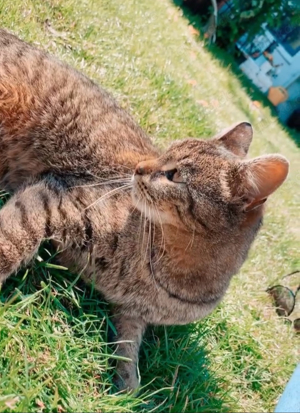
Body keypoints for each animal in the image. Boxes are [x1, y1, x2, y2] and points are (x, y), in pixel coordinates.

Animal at [0, 29, 288, 390]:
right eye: (165, 152)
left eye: (173, 175)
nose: (139, 168)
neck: (168, 274)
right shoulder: (56, 198)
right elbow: (11, 242)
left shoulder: (132, 314)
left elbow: (129, 356)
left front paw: (127, 389)